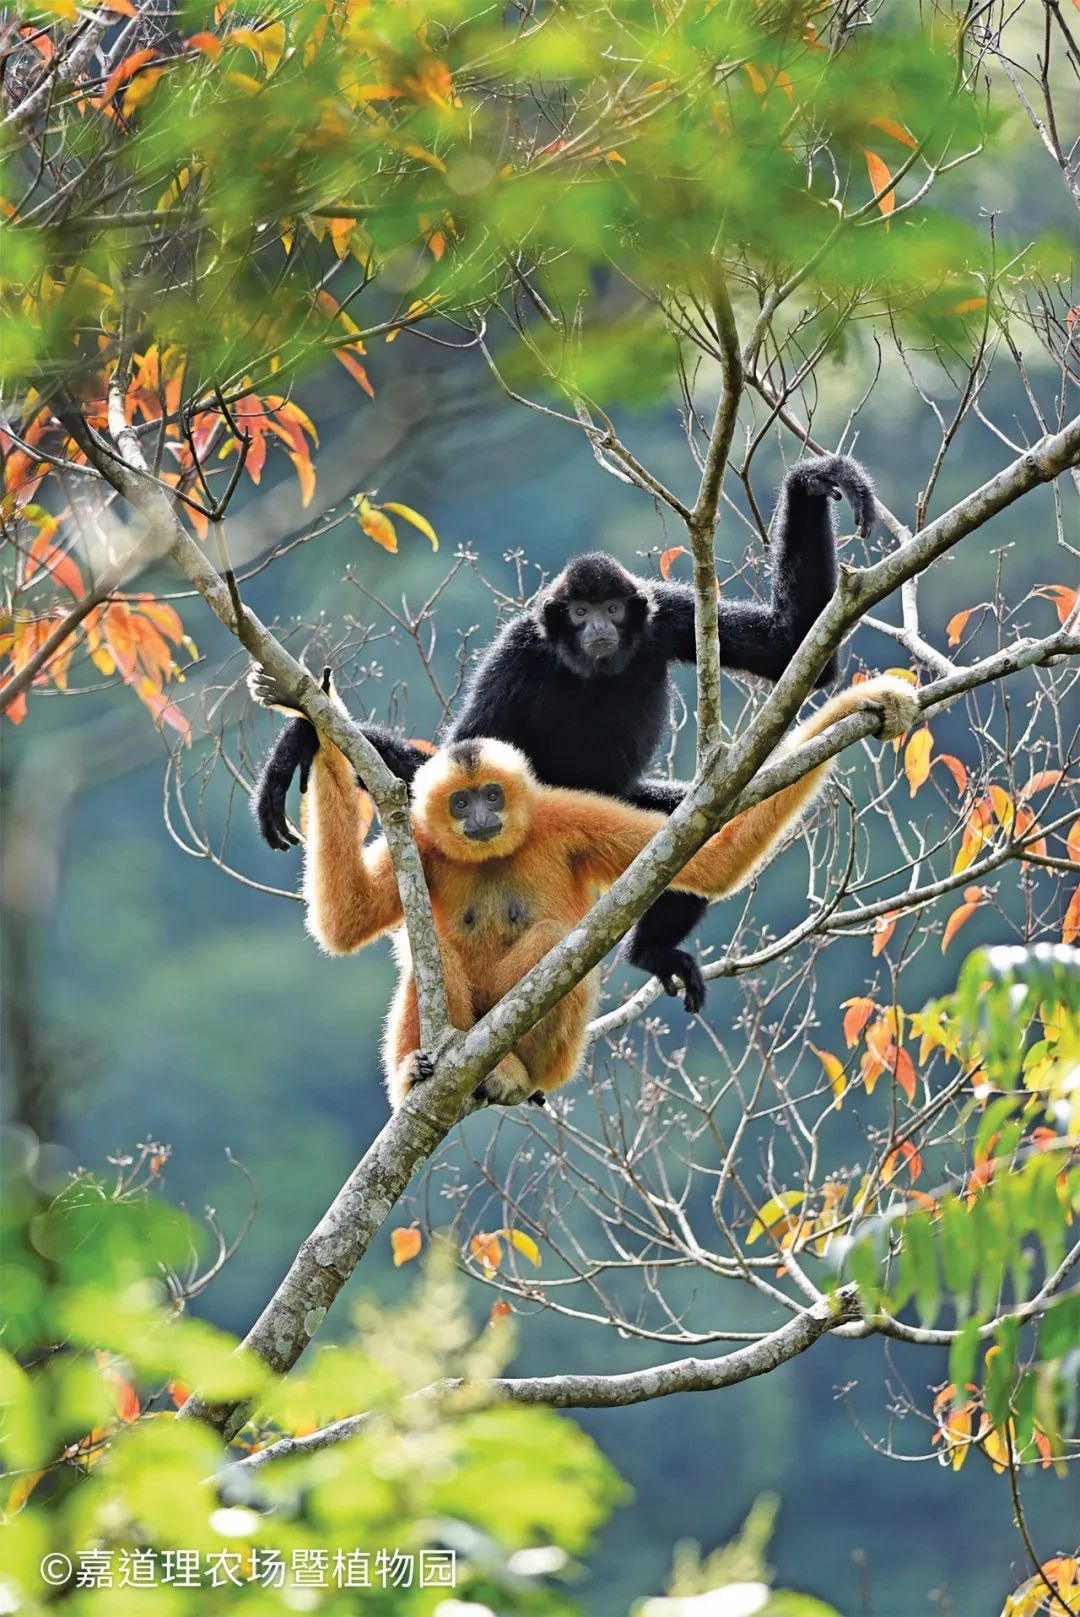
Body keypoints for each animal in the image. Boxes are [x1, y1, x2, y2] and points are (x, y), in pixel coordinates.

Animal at [253, 453, 876, 1015]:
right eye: (578, 611)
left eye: (611, 608)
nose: (598, 624)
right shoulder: (518, 652)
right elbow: (457, 755)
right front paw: (298, 742)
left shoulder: (669, 612)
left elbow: (794, 648)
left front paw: (818, 478)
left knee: (693, 822)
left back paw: (650, 951)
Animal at [301, 673, 920, 1111]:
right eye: (461, 802)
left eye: (492, 796)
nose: (480, 817)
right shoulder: (424, 841)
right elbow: (345, 919)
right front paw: (321, 737)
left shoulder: (565, 816)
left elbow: (709, 857)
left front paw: (869, 703)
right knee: (428, 957)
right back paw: (419, 1074)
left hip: (562, 1057)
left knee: (552, 947)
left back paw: (509, 1072)